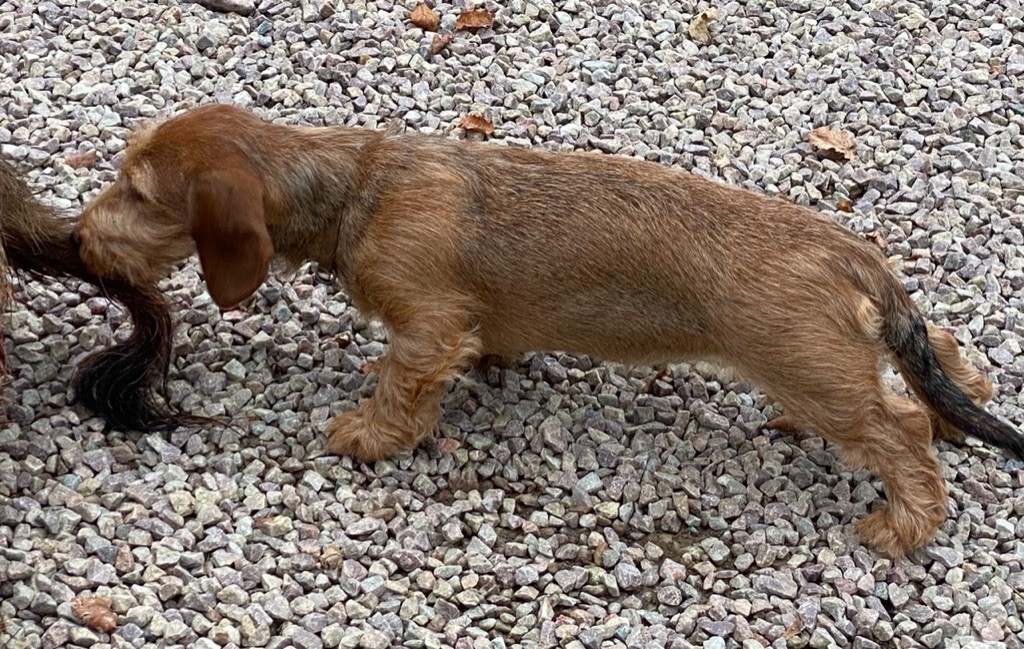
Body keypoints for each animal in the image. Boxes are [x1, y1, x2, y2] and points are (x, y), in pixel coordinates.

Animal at [73, 102, 1023, 557]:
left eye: (140, 194)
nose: (80, 238)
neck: (353, 186)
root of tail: (847, 250)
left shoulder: (429, 324)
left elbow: (405, 380)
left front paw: (369, 434)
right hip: (850, 347)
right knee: (943, 362)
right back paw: (955, 409)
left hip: (813, 369)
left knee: (898, 427)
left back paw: (906, 522)